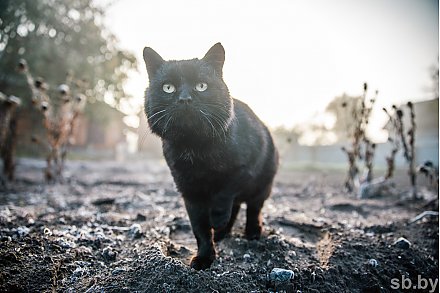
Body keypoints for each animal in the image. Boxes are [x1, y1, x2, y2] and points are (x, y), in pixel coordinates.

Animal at [144, 42, 278, 270]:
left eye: (201, 86)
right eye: (168, 88)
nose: (185, 99)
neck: (195, 147)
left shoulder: (244, 170)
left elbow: (223, 194)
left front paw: (217, 219)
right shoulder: (189, 191)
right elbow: (200, 228)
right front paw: (204, 257)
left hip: (263, 184)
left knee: (253, 207)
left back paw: (251, 231)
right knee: (236, 207)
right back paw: (222, 233)